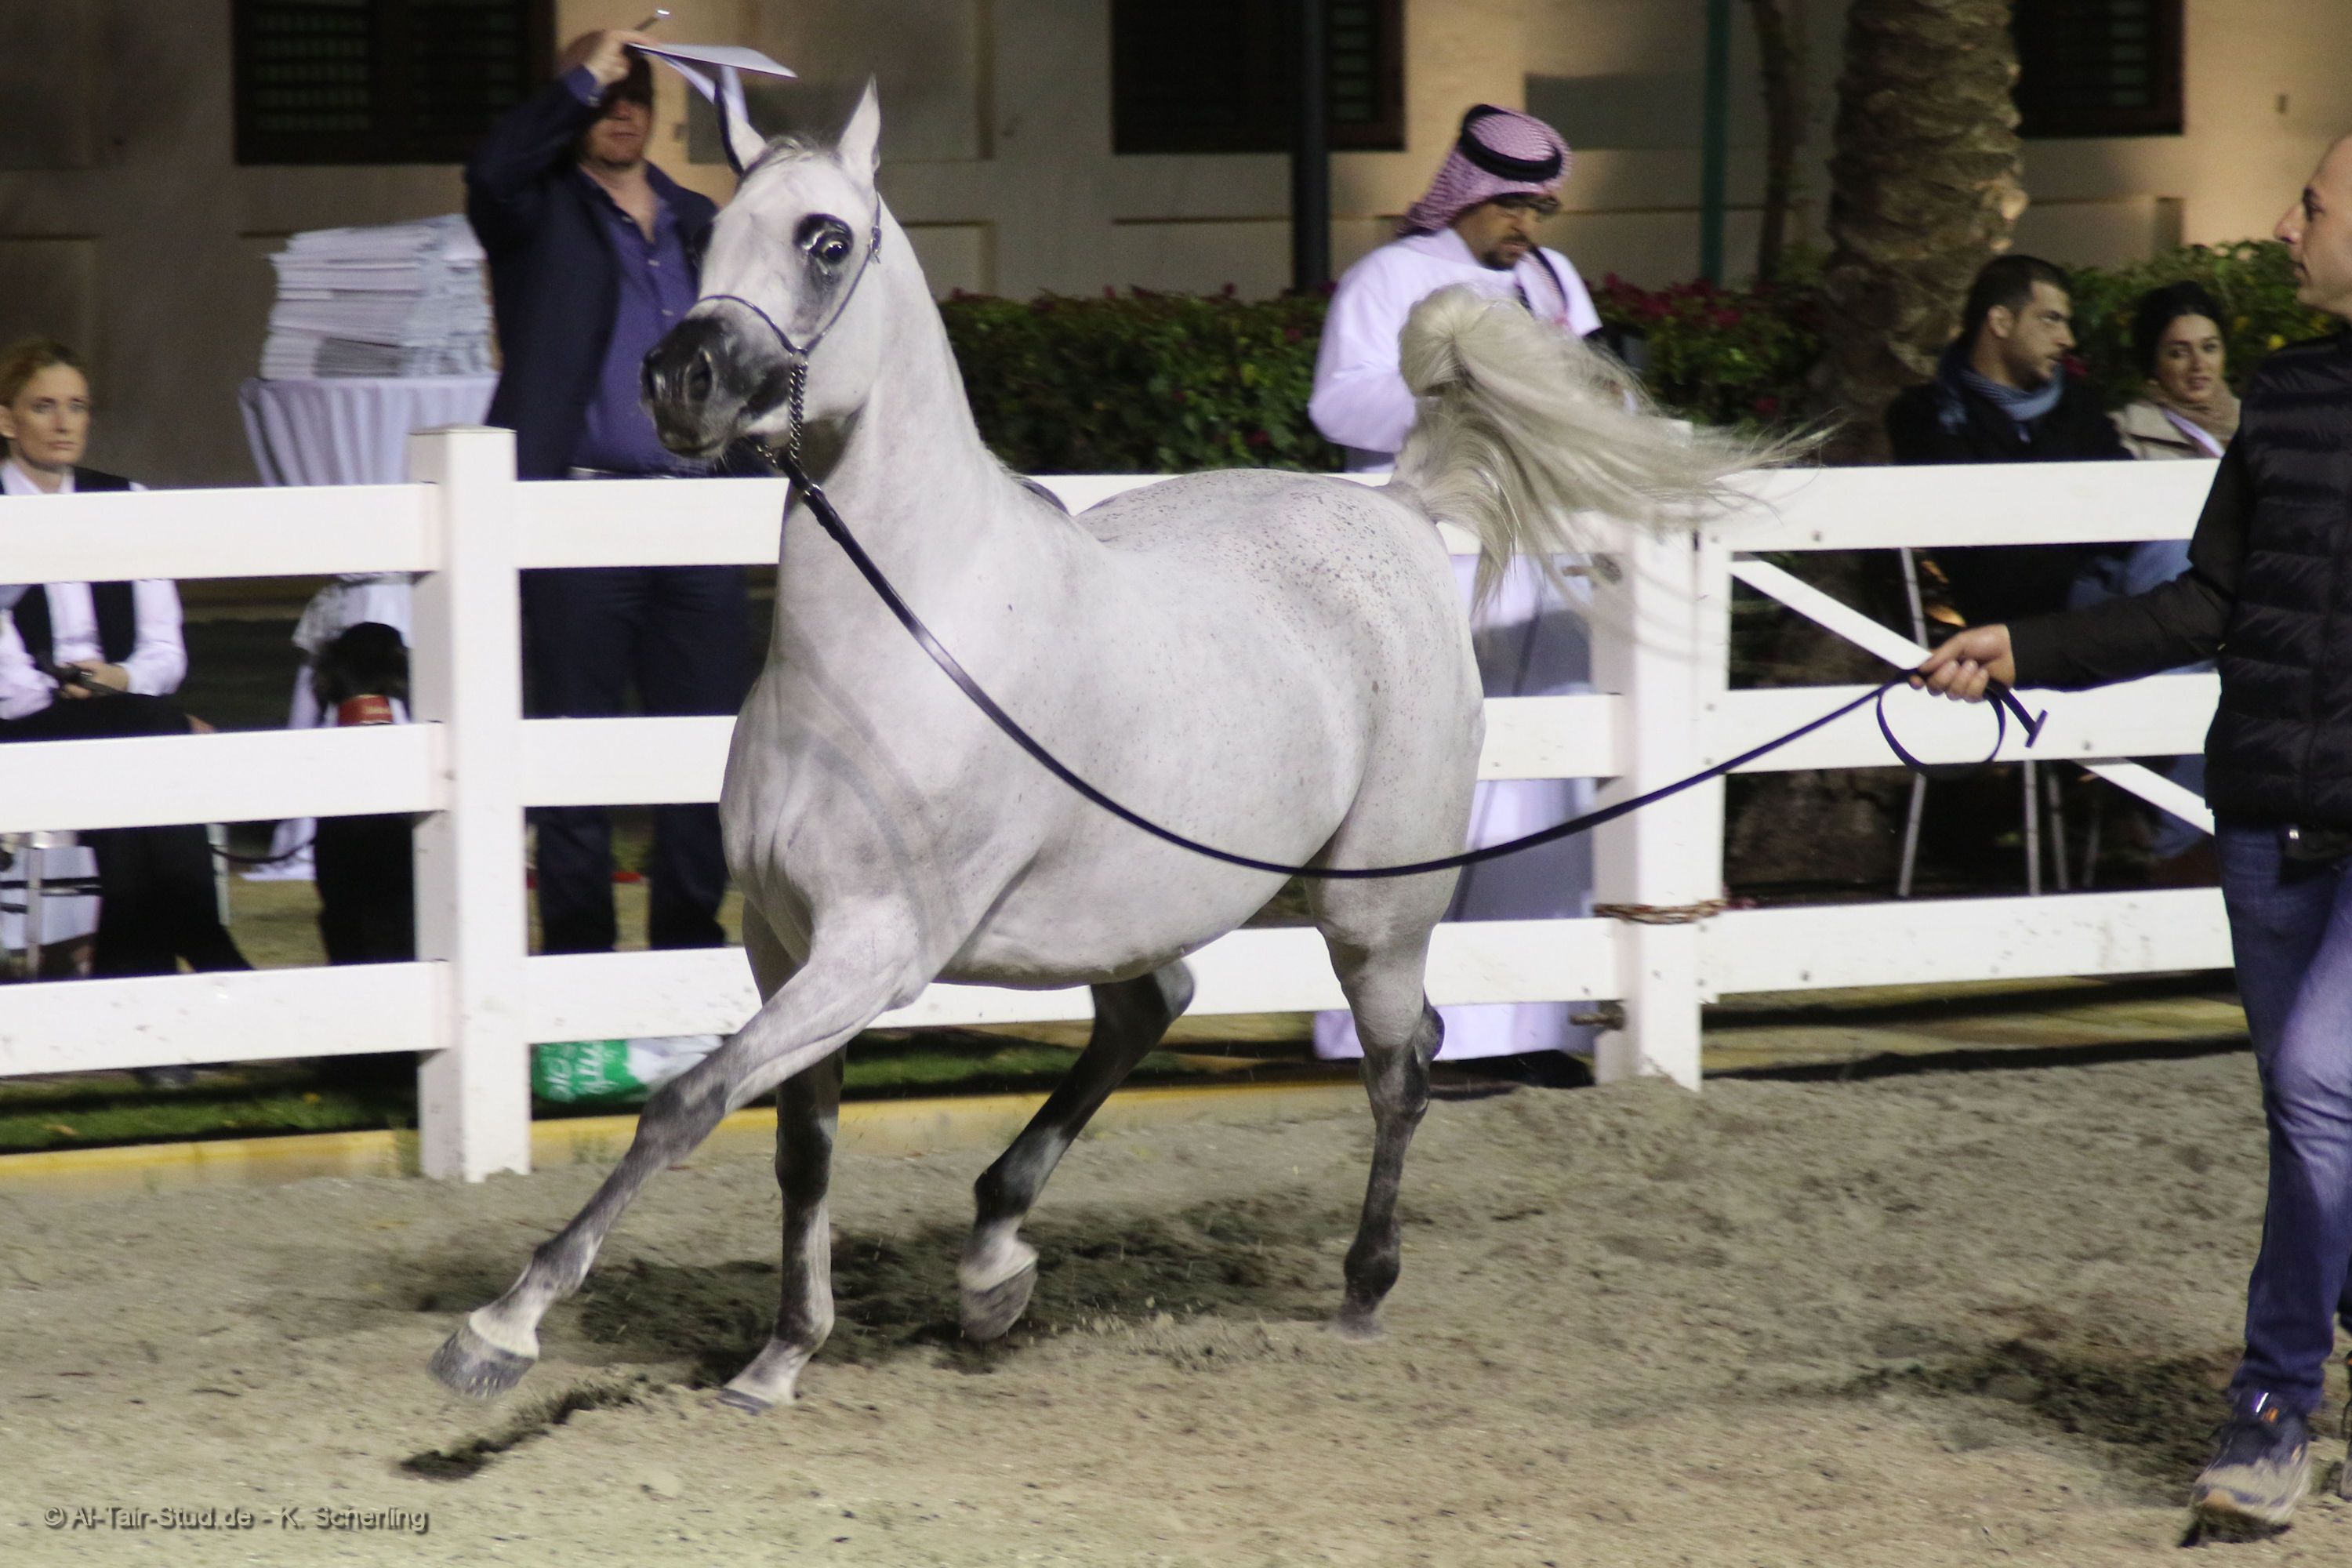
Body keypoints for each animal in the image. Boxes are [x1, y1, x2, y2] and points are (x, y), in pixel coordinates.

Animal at [430, 86, 1764, 1413]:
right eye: (706, 236)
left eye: (826, 239)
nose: (679, 379)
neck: (898, 645)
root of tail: (1392, 504)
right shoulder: (783, 941)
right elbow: (800, 1150)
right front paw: (779, 1356)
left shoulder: (874, 952)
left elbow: (685, 1106)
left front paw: (501, 1329)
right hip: (1143, 904)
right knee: (1154, 1008)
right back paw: (992, 1264)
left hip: (1373, 912)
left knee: (1402, 1066)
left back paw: (1359, 1293)